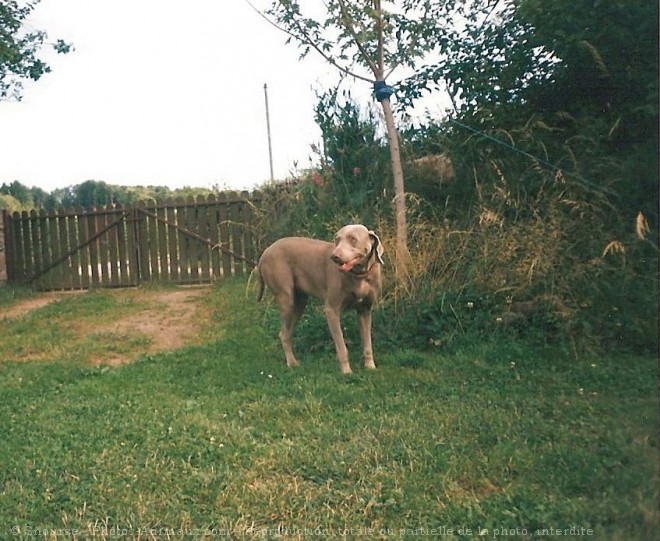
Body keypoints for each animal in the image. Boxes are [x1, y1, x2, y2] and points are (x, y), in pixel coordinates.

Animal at [255, 223, 384, 372]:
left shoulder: (365, 310)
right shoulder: (331, 310)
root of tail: (265, 252)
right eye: (337, 239)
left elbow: (367, 343)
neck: (359, 275)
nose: (334, 256)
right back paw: (291, 362)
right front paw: (346, 371)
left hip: (300, 303)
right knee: (283, 334)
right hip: (286, 299)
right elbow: (341, 346)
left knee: (287, 332)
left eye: (353, 239)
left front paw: (370, 366)